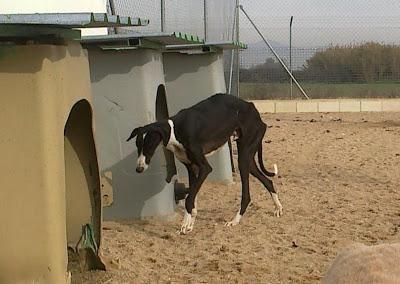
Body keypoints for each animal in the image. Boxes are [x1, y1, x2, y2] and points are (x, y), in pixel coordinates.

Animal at [126, 93, 282, 233]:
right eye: (138, 145)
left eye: (149, 145)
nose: (139, 169)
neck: (176, 130)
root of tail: (253, 108)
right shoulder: (192, 168)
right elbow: (192, 195)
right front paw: (190, 223)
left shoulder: (205, 168)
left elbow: (189, 198)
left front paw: (185, 224)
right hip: (248, 159)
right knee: (268, 181)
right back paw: (278, 207)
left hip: (243, 158)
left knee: (247, 195)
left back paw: (235, 220)